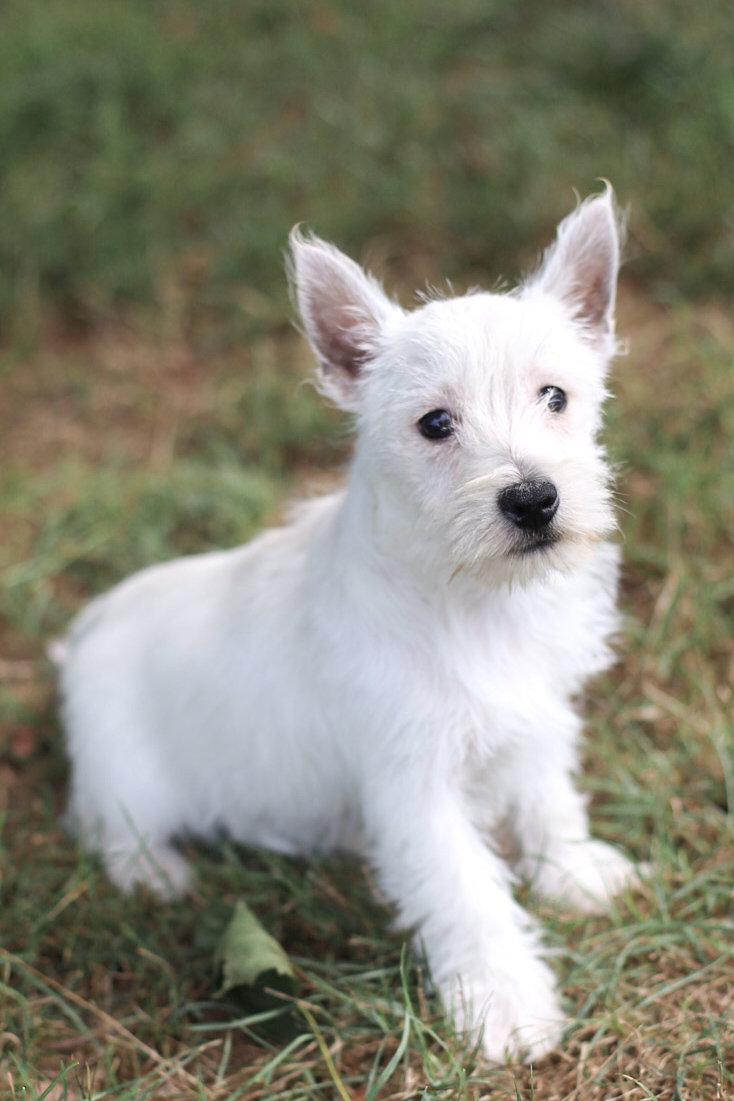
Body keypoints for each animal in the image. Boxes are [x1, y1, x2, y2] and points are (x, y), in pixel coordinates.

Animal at [57, 191, 642, 1065]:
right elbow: (465, 891)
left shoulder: (537, 712)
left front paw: (572, 873)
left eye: (555, 397)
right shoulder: (412, 782)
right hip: (122, 772)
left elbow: (549, 794)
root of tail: (85, 634)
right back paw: (156, 874)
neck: (472, 598)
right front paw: (506, 1007)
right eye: (435, 423)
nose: (535, 499)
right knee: (110, 825)